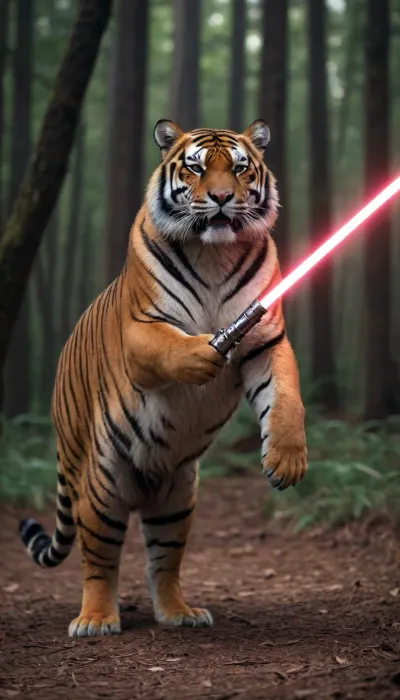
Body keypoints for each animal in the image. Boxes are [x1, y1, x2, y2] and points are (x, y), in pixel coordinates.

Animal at [19, 119, 307, 637]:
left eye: (240, 168)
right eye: (195, 167)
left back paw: (179, 613)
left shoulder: (266, 338)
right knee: (99, 561)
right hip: (101, 486)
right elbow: (173, 346)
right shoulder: (141, 328)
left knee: (164, 562)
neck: (214, 254)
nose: (220, 198)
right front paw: (204, 354)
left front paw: (286, 460)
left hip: (177, 495)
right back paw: (95, 619)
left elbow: (286, 396)